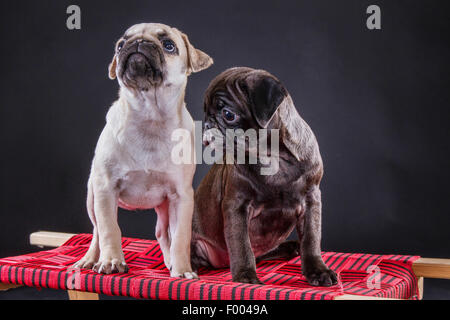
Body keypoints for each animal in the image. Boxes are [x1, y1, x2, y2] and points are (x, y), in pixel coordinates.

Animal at [73, 23, 213, 278]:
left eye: (169, 45)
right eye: (120, 45)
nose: (138, 43)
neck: (150, 117)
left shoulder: (181, 197)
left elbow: (180, 237)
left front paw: (183, 270)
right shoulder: (105, 189)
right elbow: (110, 229)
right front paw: (111, 261)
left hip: (165, 206)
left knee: (163, 233)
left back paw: (169, 262)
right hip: (92, 197)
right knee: (96, 232)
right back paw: (89, 260)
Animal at [191, 66, 338, 286]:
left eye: (228, 114)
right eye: (205, 112)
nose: (207, 125)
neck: (272, 156)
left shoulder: (311, 200)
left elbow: (311, 240)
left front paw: (318, 270)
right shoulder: (237, 205)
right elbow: (241, 245)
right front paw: (245, 275)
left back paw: (291, 247)